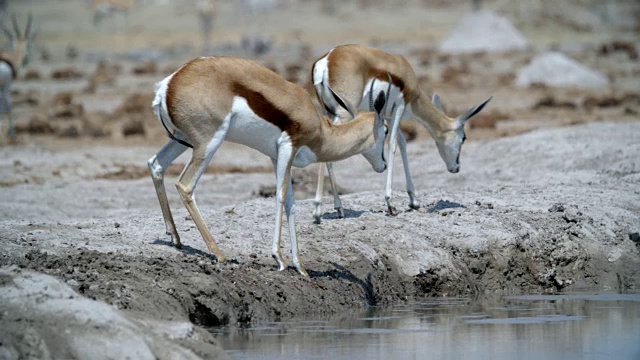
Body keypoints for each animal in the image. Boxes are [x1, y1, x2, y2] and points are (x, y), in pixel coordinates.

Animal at [149, 55, 390, 276]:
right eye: (386, 130)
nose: (384, 164)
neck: (321, 131)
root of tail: (169, 84)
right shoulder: (287, 147)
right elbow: (280, 198)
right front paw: (279, 259)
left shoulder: (278, 157)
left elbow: (291, 203)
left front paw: (300, 267)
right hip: (209, 142)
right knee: (185, 186)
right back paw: (218, 252)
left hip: (183, 139)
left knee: (156, 164)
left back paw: (175, 238)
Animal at [312, 44, 490, 219]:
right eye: (464, 138)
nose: (456, 168)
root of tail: (326, 60)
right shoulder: (399, 106)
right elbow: (393, 144)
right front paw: (391, 204)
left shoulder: (387, 115)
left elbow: (403, 143)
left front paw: (413, 201)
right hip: (344, 112)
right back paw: (322, 209)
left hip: (330, 111)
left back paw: (336, 208)